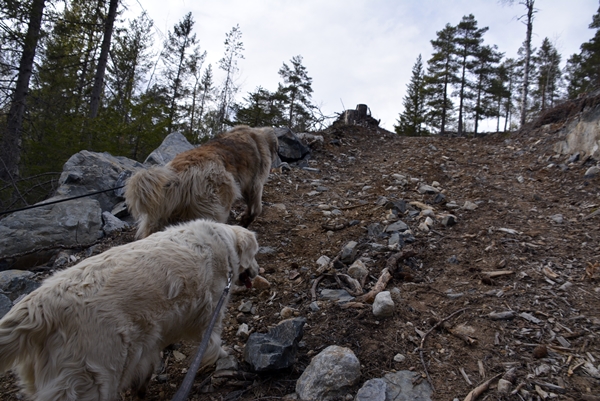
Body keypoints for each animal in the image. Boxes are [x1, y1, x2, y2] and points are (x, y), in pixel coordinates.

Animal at [0, 219, 258, 400]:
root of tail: (38, 305)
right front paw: (223, 357)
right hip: (94, 377)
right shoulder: (211, 311)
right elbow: (212, 342)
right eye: (255, 254)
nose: (256, 271)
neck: (222, 243)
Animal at [125, 125, 280, 238]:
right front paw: (245, 220)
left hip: (158, 215)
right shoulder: (255, 184)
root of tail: (177, 176)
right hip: (214, 209)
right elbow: (256, 208)